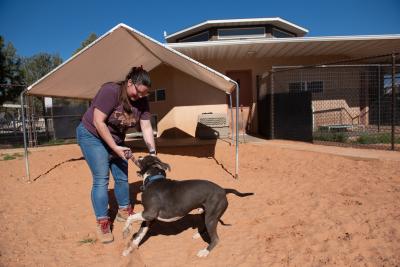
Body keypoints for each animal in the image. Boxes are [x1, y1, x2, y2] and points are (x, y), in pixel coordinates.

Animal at [122, 156, 253, 258]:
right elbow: (138, 236)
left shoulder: (149, 213)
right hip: (205, 214)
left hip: (211, 217)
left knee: (215, 238)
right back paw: (198, 235)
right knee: (206, 228)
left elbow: (130, 218)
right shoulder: (148, 219)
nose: (138, 156)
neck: (153, 179)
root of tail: (223, 190)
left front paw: (125, 231)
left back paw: (204, 252)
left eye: (144, 158)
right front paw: (128, 250)